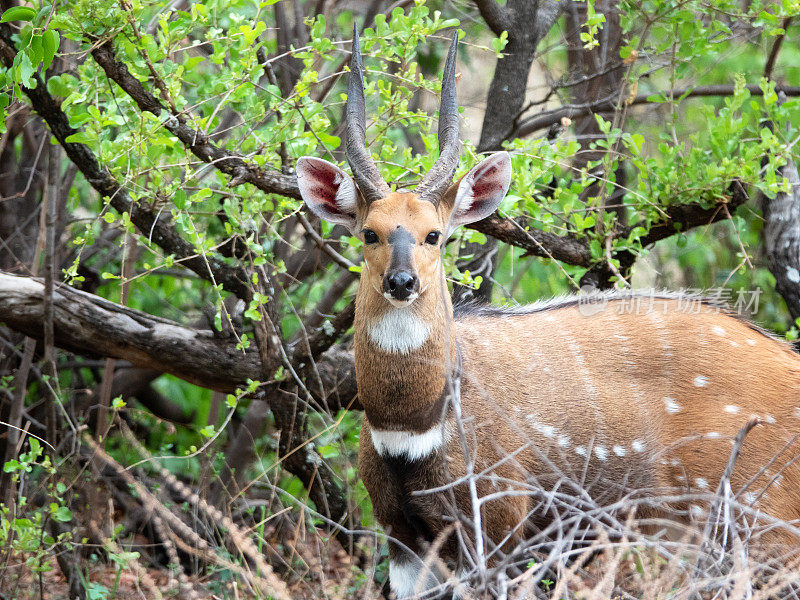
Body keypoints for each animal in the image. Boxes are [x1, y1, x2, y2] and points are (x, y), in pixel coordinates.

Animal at [296, 27, 800, 596]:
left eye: (434, 234)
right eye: (369, 232)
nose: (402, 282)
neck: (409, 427)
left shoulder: (498, 527)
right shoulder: (403, 536)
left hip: (758, 521)